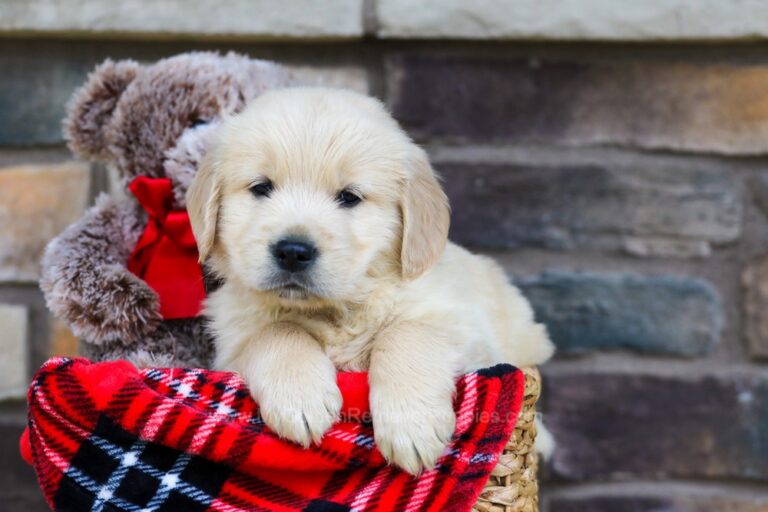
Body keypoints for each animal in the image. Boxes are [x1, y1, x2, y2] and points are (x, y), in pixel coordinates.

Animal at [189, 86, 556, 474]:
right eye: (261, 188)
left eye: (350, 197)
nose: (292, 251)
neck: (340, 308)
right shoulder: (231, 346)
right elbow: (276, 331)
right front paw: (299, 398)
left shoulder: (468, 333)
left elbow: (407, 331)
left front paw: (411, 424)